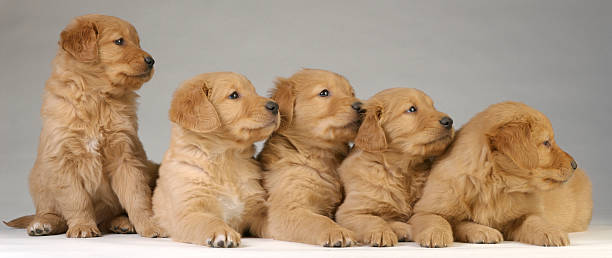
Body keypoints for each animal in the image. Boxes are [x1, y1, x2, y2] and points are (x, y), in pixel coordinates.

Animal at [5, 14, 163, 238]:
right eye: (119, 41)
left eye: (138, 42)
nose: (151, 61)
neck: (96, 97)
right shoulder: (62, 157)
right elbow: (76, 198)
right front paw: (82, 226)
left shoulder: (126, 155)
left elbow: (137, 196)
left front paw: (151, 225)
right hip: (38, 178)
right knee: (50, 213)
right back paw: (43, 224)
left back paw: (122, 223)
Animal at [153, 71, 280, 247]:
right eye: (234, 95)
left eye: (254, 91)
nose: (275, 106)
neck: (226, 160)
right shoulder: (188, 212)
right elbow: (207, 220)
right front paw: (222, 232)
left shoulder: (257, 210)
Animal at [258, 69, 364, 248]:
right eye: (324, 93)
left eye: (352, 93)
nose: (362, 107)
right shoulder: (285, 210)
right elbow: (318, 220)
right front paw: (337, 231)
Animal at [334, 87, 454, 247]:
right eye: (412, 109)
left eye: (432, 107)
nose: (449, 121)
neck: (401, 171)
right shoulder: (348, 212)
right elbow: (373, 219)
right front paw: (381, 233)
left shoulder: (423, 207)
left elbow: (434, 217)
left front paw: (437, 233)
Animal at [408, 102, 592, 247]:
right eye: (546, 143)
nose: (575, 165)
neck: (495, 185)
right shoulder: (424, 210)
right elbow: (438, 219)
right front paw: (437, 234)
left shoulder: (523, 213)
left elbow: (534, 220)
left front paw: (551, 231)